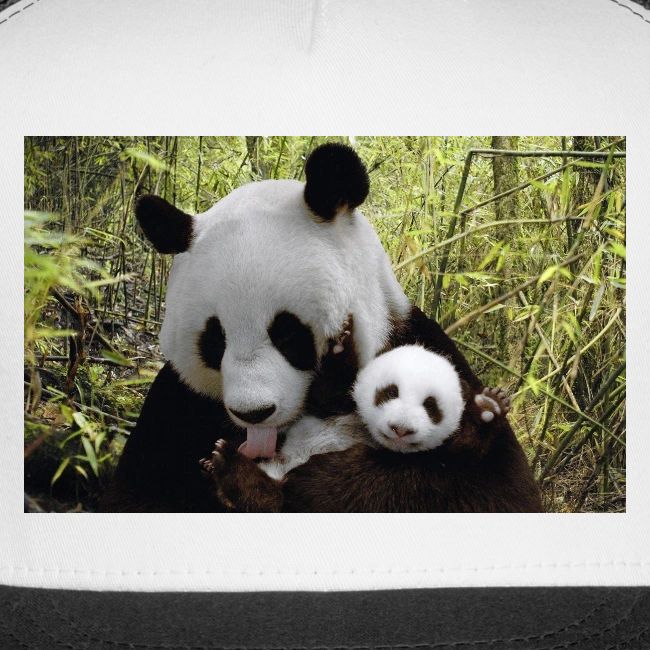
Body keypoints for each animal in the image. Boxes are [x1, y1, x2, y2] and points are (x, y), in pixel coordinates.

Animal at [100, 143, 541, 513]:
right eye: (215, 340)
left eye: (287, 333)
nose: (254, 413)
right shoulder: (178, 405)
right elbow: (137, 494)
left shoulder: (422, 347)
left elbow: (489, 488)